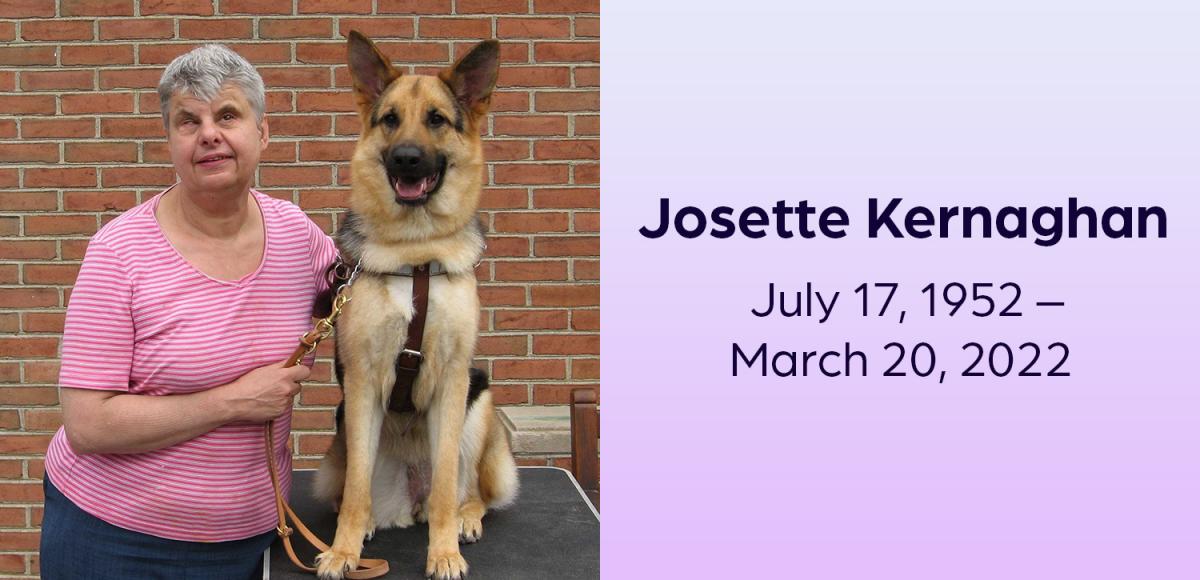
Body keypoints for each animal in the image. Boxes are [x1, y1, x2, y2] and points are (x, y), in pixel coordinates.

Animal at [312, 32, 518, 580]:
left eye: (436, 120)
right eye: (389, 119)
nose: (405, 158)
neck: (416, 252)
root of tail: (411, 496)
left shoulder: (452, 380)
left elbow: (447, 483)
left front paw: (443, 553)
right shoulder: (362, 382)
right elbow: (357, 488)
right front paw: (343, 552)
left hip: (478, 402)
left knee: (469, 490)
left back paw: (465, 519)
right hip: (340, 437)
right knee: (351, 489)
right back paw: (363, 525)